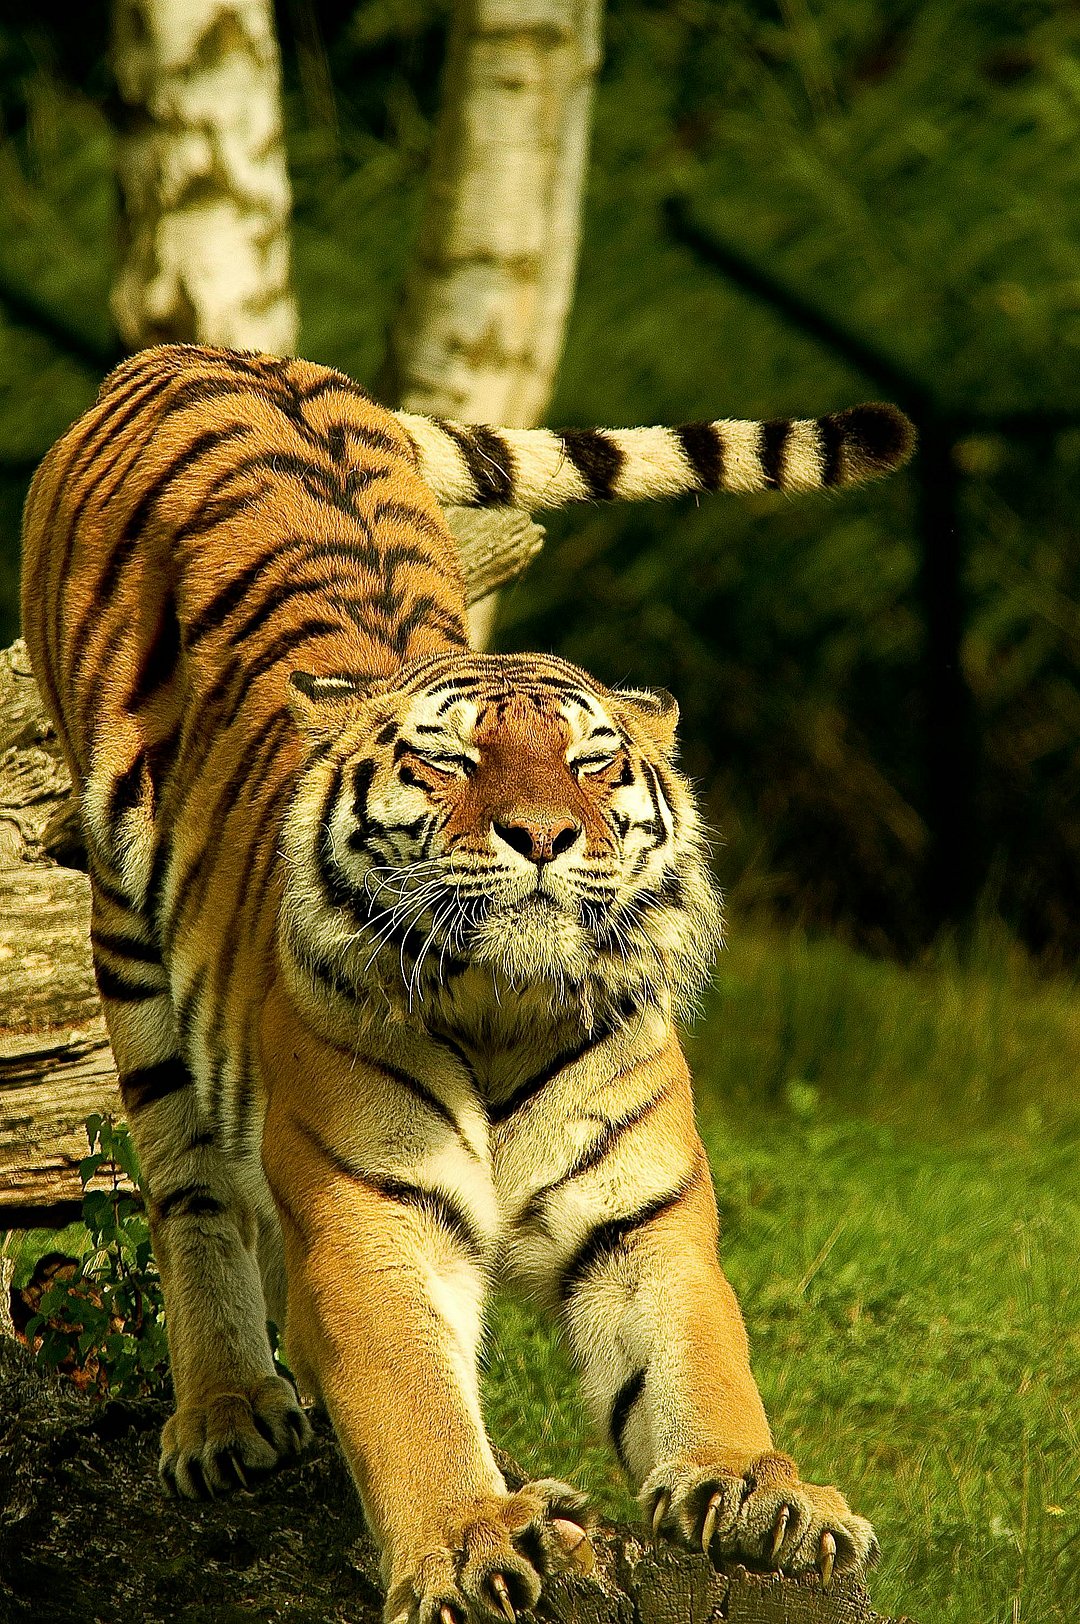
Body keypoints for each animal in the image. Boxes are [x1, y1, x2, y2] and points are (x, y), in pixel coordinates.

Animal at [21, 344, 912, 1624]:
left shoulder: (645, 1220)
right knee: (188, 1187)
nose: (542, 832)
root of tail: (203, 352)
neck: (504, 1008)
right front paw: (467, 1536)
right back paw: (227, 1415)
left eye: (593, 761)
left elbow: (700, 1364)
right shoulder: (370, 1218)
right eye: (450, 758)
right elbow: (412, 1401)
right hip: (127, 940)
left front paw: (765, 1490)